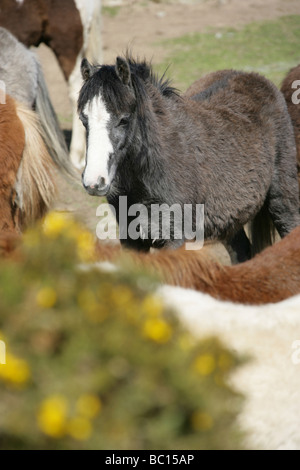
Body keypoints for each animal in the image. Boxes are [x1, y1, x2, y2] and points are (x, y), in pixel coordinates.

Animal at [78, 56, 300, 260]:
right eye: (83, 120)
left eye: (124, 119)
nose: (94, 182)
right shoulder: (131, 239)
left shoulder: (175, 239)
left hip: (282, 202)